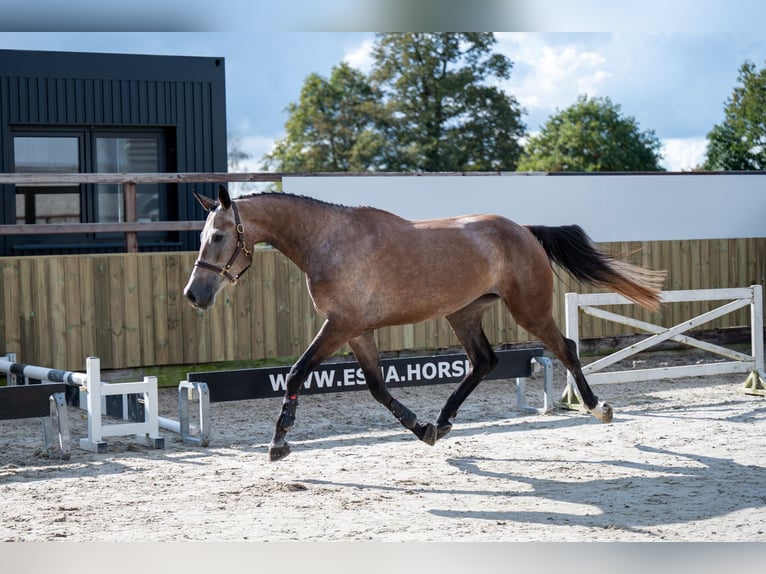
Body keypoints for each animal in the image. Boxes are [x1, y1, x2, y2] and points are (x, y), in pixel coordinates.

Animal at [184, 186, 664, 464]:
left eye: (220, 236)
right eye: (203, 237)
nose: (194, 295)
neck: (328, 240)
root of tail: (524, 230)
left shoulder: (339, 326)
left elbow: (298, 371)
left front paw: (279, 441)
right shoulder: (357, 331)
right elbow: (377, 388)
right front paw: (422, 428)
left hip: (527, 309)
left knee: (564, 347)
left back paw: (597, 407)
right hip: (463, 312)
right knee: (484, 361)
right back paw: (444, 421)